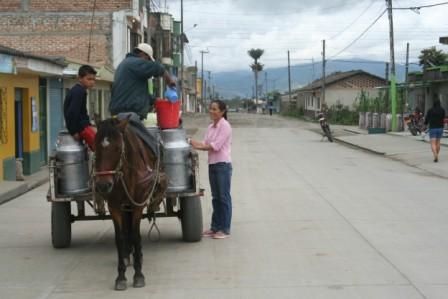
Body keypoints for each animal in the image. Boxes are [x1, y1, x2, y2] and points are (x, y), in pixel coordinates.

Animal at [94, 118, 166, 292]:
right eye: (95, 146)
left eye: (118, 148)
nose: (103, 185)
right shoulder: (114, 206)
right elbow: (120, 237)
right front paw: (121, 276)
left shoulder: (138, 205)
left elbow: (135, 235)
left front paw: (139, 274)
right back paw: (128, 255)